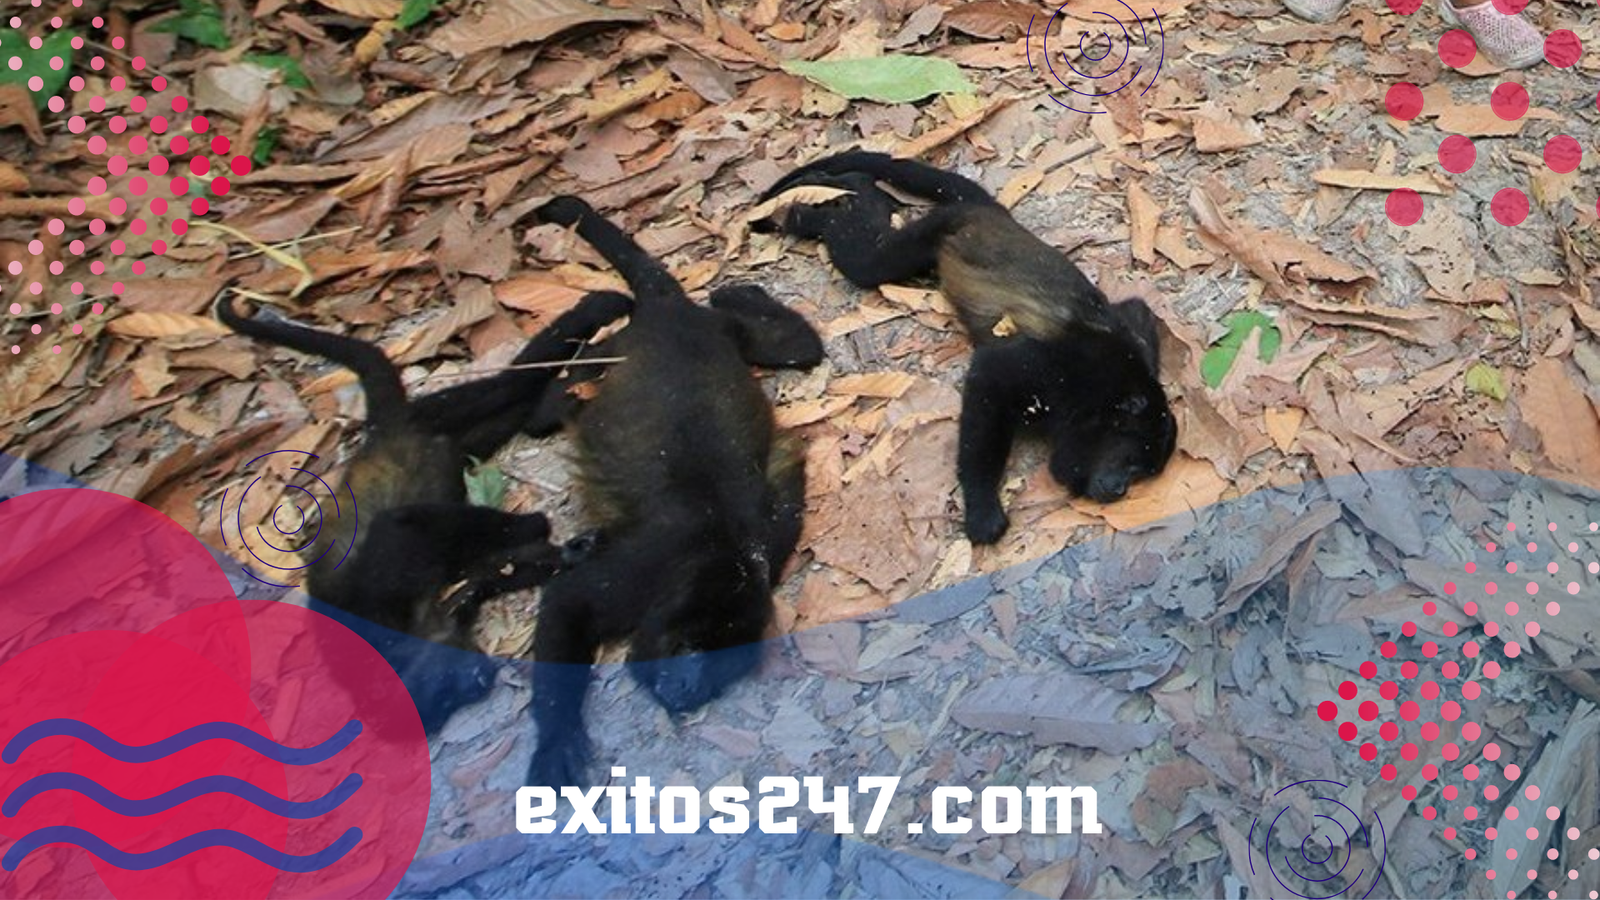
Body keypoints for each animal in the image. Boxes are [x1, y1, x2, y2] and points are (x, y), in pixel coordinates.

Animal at [215, 285, 633, 733]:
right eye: (449, 699)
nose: (481, 678)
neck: (402, 633)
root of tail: (379, 434)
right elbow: (495, 570)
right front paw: (568, 553)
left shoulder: (377, 584)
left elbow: (401, 524)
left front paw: (535, 524)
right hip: (452, 435)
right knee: (512, 411)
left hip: (433, 412)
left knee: (506, 384)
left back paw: (596, 315)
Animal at [519, 195, 824, 788]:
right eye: (686, 649)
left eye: (718, 672)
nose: (684, 691)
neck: (719, 553)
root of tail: (671, 312)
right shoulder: (648, 565)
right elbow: (567, 602)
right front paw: (557, 740)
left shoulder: (771, 540)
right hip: (618, 351)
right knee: (550, 406)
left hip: (722, 329)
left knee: (799, 347)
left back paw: (742, 295)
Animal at [754, 150, 1177, 545]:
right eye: (1134, 461)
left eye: (1143, 474)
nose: (1120, 489)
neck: (1103, 393)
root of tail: (992, 213)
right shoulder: (1051, 368)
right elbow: (989, 378)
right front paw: (983, 509)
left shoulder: (1127, 336)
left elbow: (1136, 309)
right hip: (939, 228)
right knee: (868, 259)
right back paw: (825, 205)